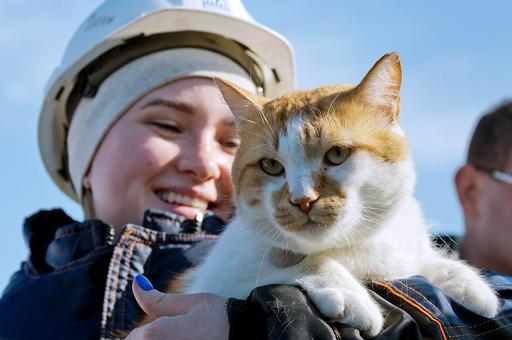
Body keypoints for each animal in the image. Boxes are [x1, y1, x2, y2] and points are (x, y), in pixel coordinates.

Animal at [179, 51, 496, 336]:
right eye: (271, 166)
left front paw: (469, 284)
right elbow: (295, 260)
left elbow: (425, 261)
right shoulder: (211, 282)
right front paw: (350, 295)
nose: (302, 199)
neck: (353, 246)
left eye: (337, 154)